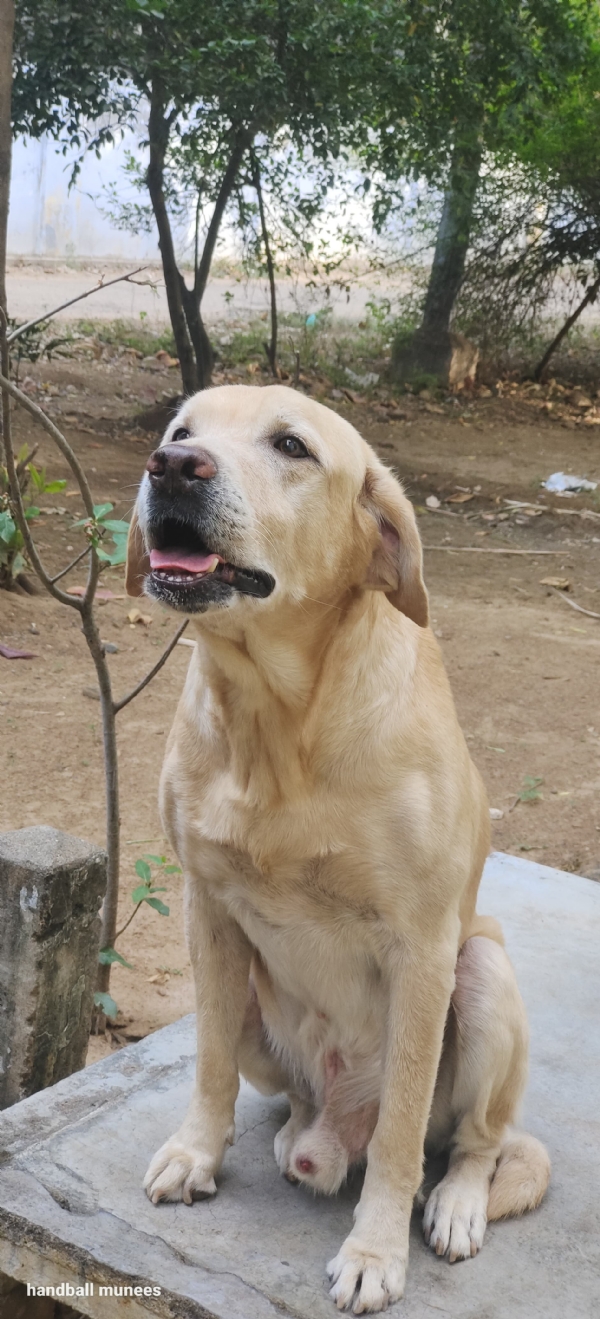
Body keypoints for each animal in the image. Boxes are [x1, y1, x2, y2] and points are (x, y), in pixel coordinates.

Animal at [126, 385, 548, 1313]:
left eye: (292, 446)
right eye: (182, 430)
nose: (172, 467)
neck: (279, 724)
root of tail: (334, 1125)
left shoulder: (423, 949)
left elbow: (399, 1136)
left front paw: (375, 1249)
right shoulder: (206, 908)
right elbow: (208, 1063)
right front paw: (196, 1152)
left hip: (482, 972)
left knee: (475, 1140)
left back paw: (456, 1200)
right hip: (257, 1001)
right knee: (286, 1090)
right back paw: (297, 1136)